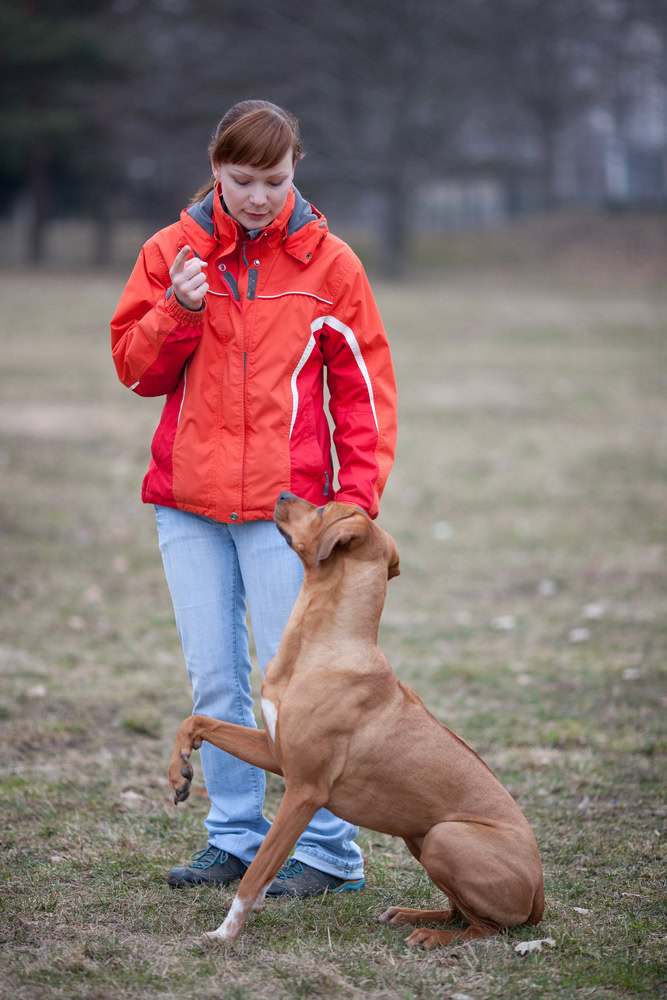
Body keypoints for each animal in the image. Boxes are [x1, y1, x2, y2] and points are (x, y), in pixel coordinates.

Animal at [166, 496, 544, 948]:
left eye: (323, 507)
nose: (281, 495)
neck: (321, 645)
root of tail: (540, 893)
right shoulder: (275, 752)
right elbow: (196, 720)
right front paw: (179, 773)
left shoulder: (305, 790)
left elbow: (256, 871)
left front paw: (225, 932)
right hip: (419, 838)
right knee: (459, 911)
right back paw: (412, 914)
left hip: (445, 837)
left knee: (488, 928)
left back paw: (430, 935)